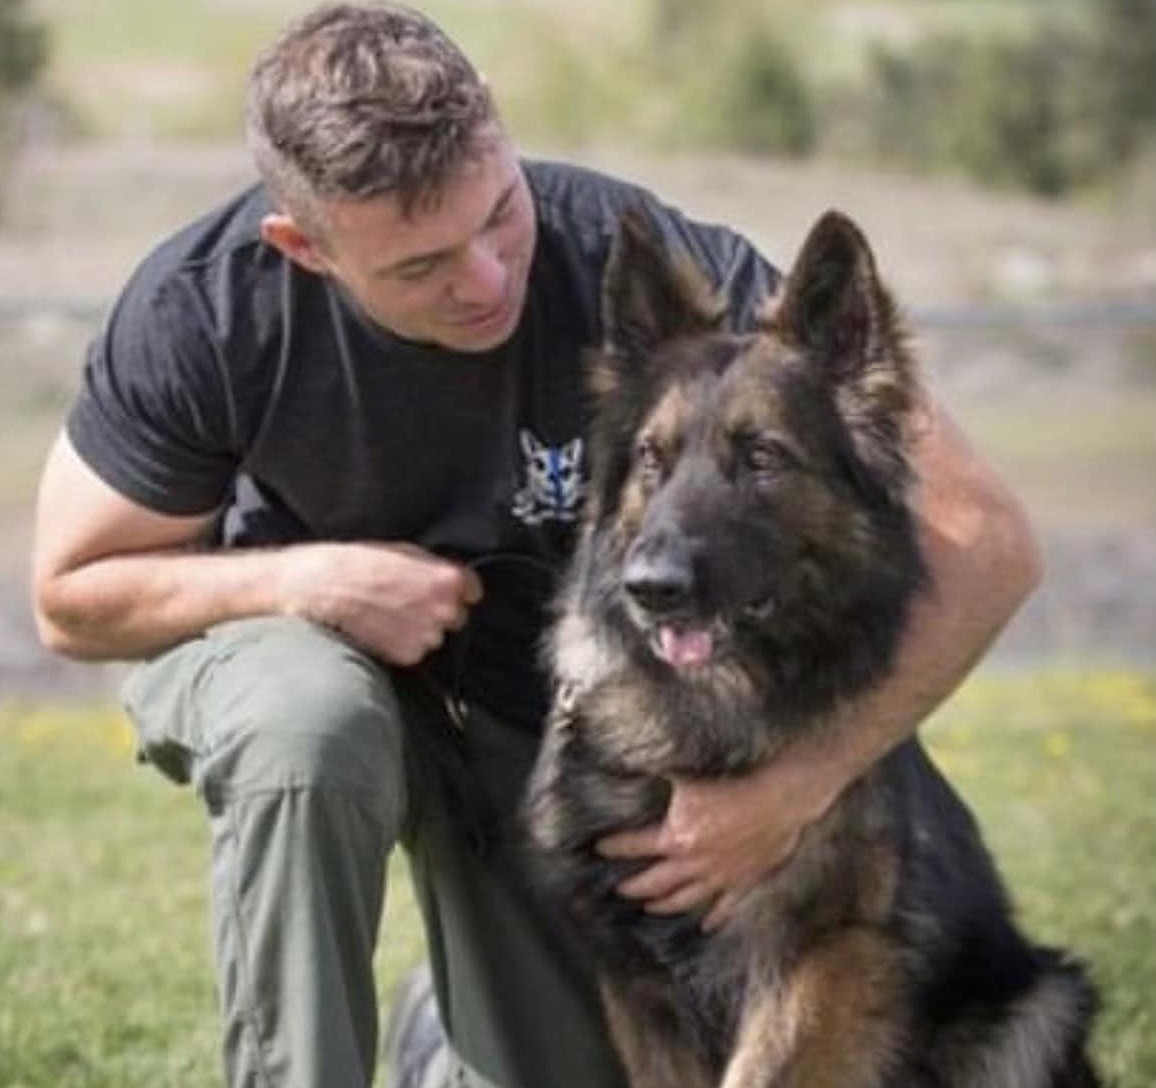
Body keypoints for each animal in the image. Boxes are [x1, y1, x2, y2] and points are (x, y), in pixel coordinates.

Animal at [524, 212, 1100, 1086]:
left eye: (762, 457)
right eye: (654, 458)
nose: (649, 587)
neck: (705, 721)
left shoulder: (826, 960)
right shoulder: (635, 979)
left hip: (1045, 1000)